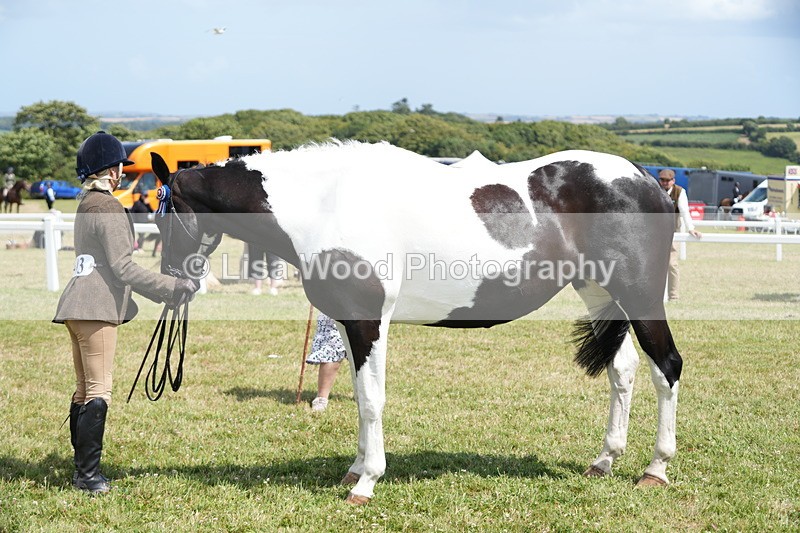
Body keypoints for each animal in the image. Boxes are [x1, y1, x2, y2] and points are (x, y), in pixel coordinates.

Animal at [151, 141, 683, 505]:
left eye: (161, 215)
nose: (175, 282)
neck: (326, 204)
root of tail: (644, 179)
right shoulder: (351, 324)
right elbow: (359, 396)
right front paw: (355, 468)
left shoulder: (369, 321)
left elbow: (371, 400)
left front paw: (366, 482)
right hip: (600, 294)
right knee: (623, 371)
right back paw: (604, 460)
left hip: (639, 297)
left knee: (667, 367)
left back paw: (655, 469)